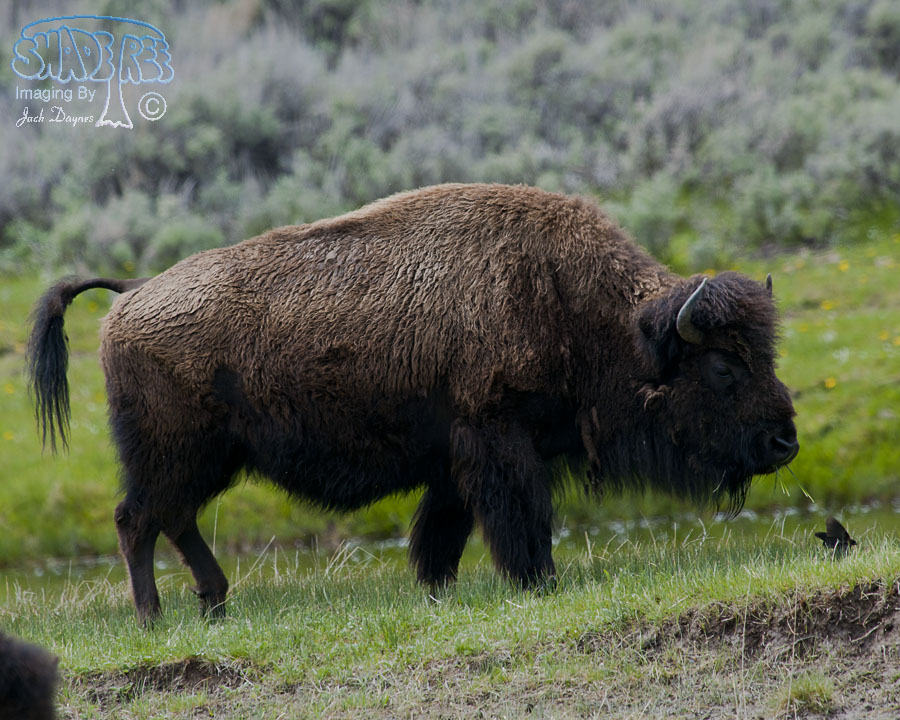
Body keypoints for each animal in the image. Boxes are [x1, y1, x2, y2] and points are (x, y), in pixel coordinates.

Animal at [27, 183, 798, 623]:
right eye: (724, 366)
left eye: (768, 355)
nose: (784, 442)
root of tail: (130, 296)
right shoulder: (497, 439)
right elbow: (520, 517)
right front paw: (539, 581)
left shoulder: (456, 460)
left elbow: (443, 532)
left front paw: (438, 588)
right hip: (173, 452)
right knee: (137, 519)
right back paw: (154, 617)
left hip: (213, 458)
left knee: (173, 518)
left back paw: (214, 602)